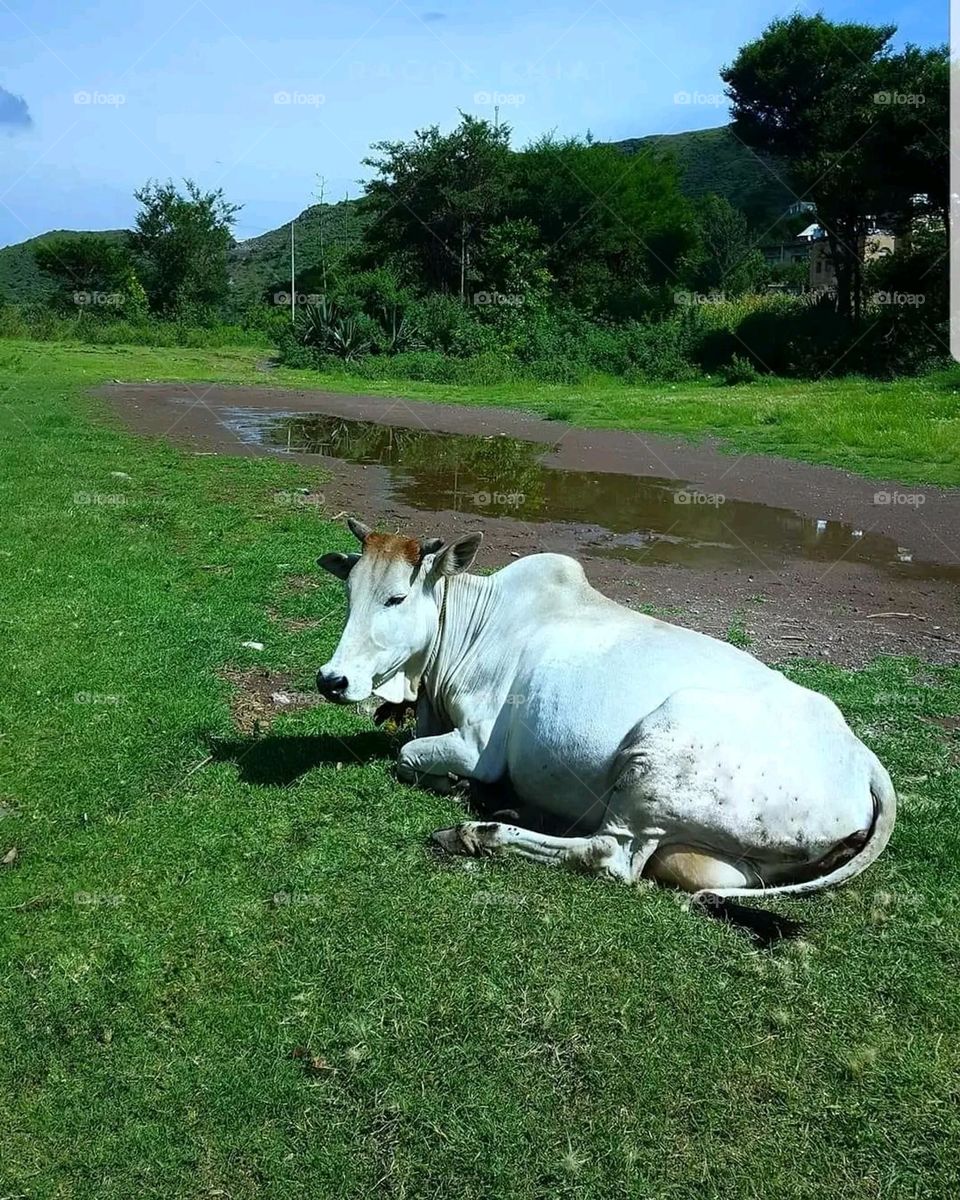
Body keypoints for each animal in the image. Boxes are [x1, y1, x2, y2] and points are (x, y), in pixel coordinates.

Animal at [316, 518, 896, 915]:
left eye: (396, 598)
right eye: (349, 593)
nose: (331, 680)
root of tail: (864, 762)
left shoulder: (477, 747)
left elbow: (408, 757)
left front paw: (454, 787)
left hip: (651, 763)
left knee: (608, 855)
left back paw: (479, 831)